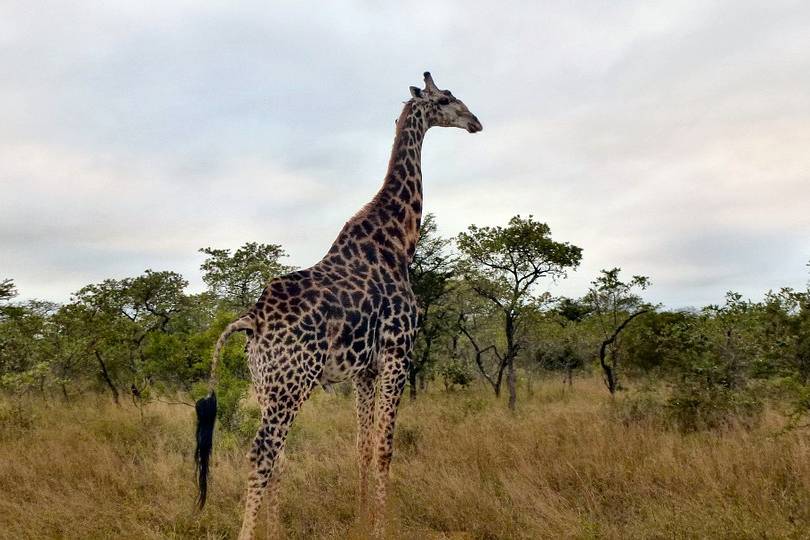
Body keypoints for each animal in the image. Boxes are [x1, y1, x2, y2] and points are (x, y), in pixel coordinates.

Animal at [194, 73, 480, 540]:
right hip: (292, 382)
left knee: (278, 456)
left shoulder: (364, 370)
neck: (399, 241)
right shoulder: (398, 354)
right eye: (446, 99)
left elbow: (362, 448)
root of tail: (252, 320)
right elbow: (384, 448)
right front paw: (382, 527)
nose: (476, 121)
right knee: (262, 452)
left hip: (266, 384)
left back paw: (275, 531)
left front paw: (364, 521)